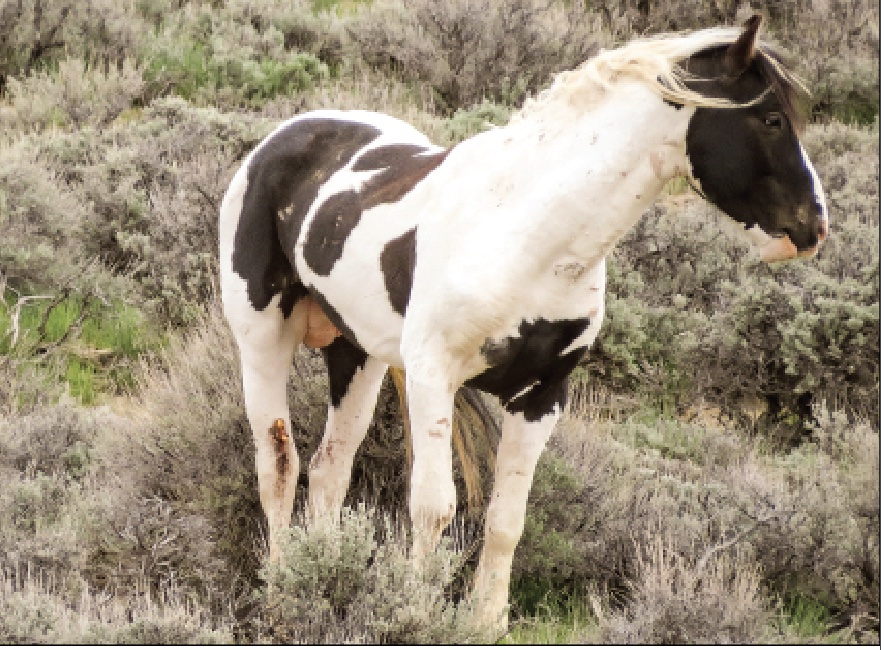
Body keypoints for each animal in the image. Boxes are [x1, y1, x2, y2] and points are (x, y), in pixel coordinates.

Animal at [219, 15, 827, 632]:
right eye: (771, 119)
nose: (813, 227)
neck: (524, 230)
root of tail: (282, 137)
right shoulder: (433, 378)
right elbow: (434, 507)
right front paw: (415, 613)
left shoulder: (541, 396)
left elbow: (506, 519)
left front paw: (485, 623)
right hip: (264, 340)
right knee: (280, 466)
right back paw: (281, 595)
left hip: (357, 354)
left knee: (329, 469)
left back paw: (317, 581)